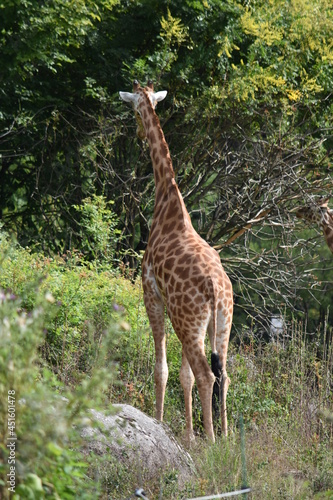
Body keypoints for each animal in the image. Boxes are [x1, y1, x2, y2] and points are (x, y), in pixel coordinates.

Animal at [120, 80, 233, 444]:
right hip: (219, 324)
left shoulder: (152, 295)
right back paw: (225, 437)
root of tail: (216, 289)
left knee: (207, 374)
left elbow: (162, 369)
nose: (138, 133)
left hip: (189, 321)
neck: (167, 200)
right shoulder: (177, 311)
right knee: (223, 374)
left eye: (133, 109)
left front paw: (158, 423)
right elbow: (183, 374)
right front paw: (187, 435)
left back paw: (212, 441)